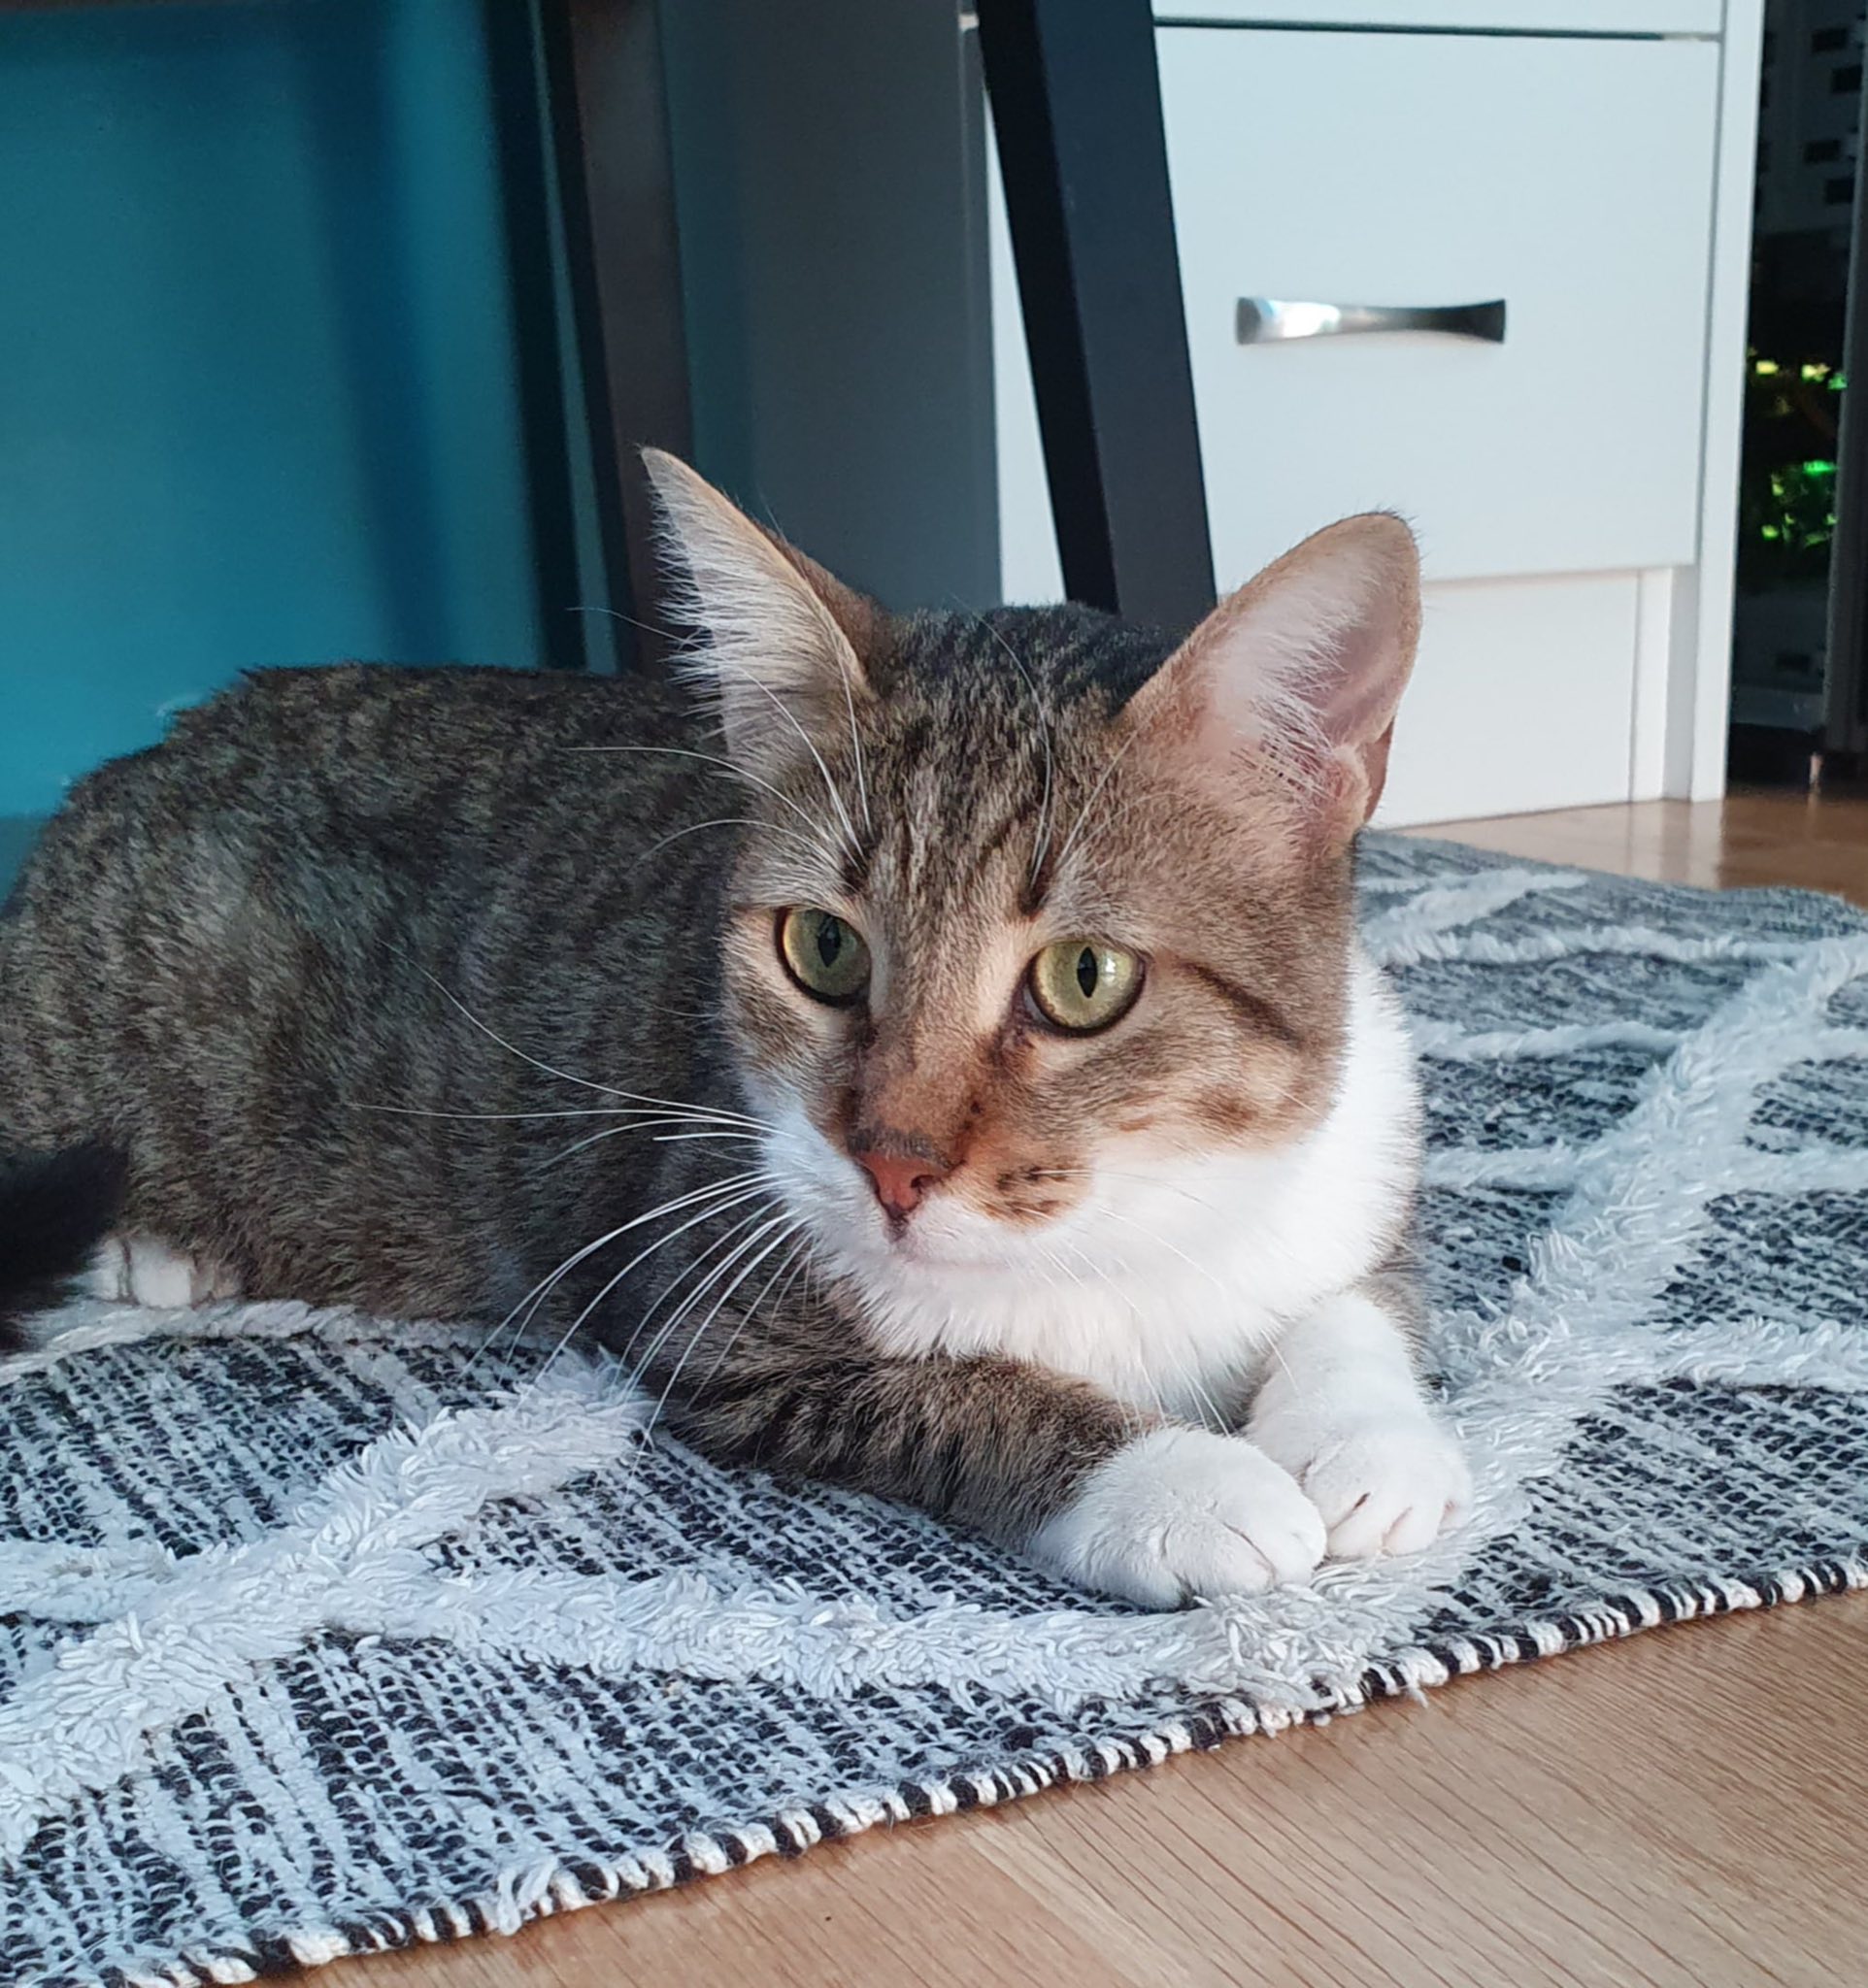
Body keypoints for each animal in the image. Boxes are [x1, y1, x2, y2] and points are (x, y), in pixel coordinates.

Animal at [0, 451, 1469, 1607]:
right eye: (824, 948)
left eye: (1085, 977)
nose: (891, 1165)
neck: (1126, 1229)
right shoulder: (725, 1316)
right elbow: (963, 1390)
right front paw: (1184, 1480)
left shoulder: (1354, 1152)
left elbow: (1359, 1294)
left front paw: (1365, 1442)